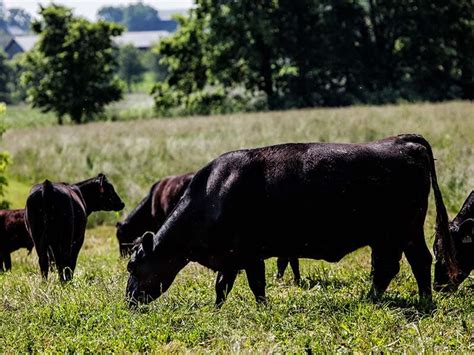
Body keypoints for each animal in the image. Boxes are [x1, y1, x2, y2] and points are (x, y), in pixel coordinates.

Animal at [125, 135, 456, 308]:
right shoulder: (231, 258)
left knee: (411, 262)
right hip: (394, 235)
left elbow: (256, 284)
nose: (129, 300)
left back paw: (411, 299)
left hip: (402, 230)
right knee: (396, 266)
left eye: (132, 266)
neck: (213, 191)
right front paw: (217, 309)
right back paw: (386, 298)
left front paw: (262, 308)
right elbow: (222, 286)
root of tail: (402, 141)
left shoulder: (250, 254)